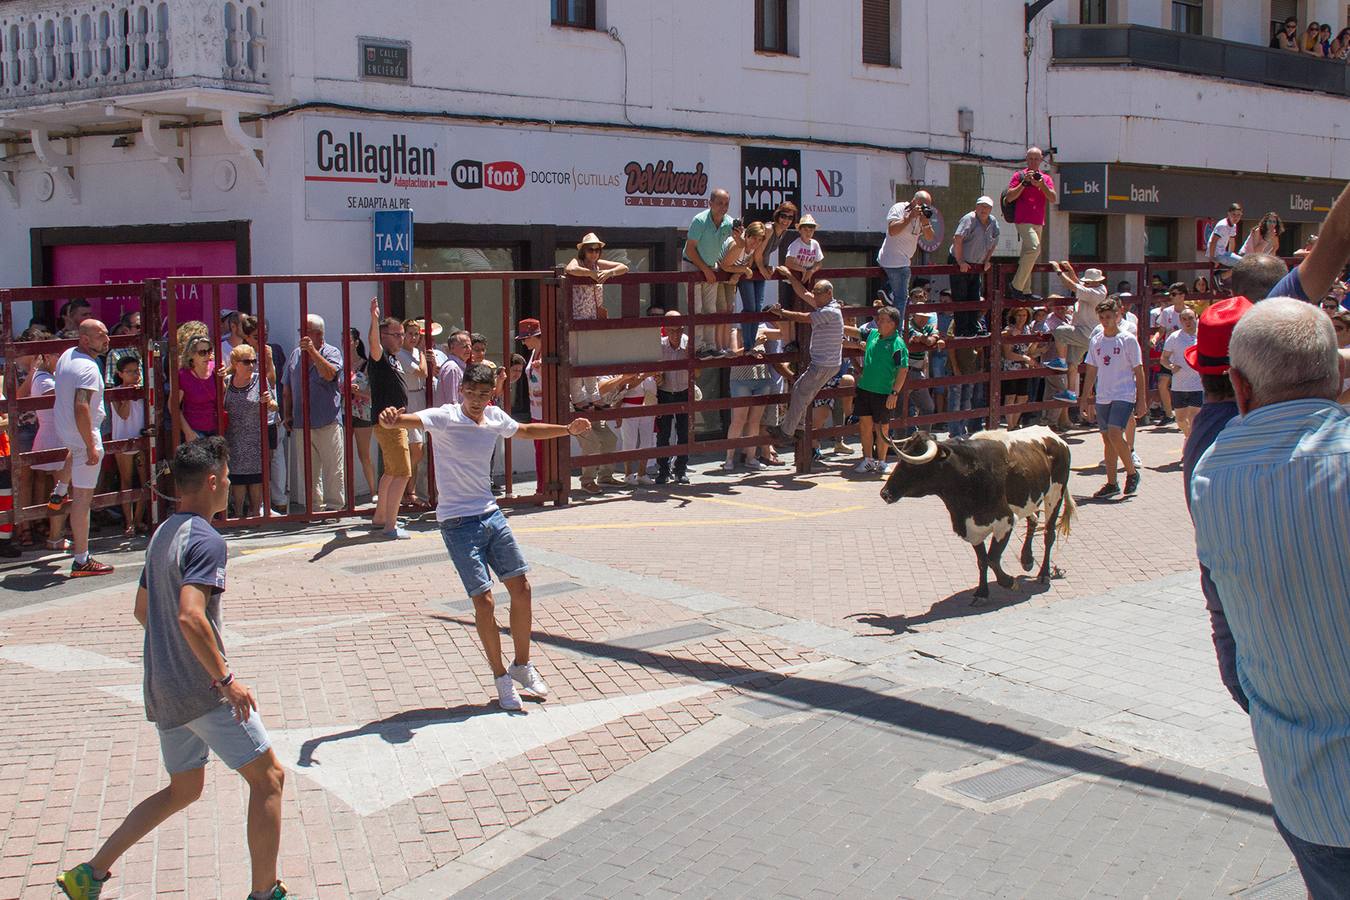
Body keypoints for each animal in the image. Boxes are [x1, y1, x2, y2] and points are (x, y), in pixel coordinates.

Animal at [874, 429, 1074, 604]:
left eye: (910, 464)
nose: (885, 493)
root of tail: (1057, 438)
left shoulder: (1005, 521)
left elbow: (992, 559)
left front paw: (1009, 582)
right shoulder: (972, 528)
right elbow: (982, 561)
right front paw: (982, 593)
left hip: (1055, 494)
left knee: (1049, 533)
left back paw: (1044, 574)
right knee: (1033, 519)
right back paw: (1027, 560)